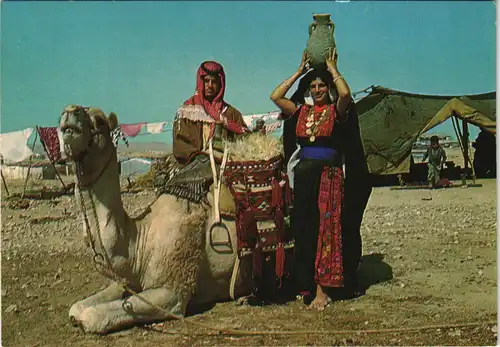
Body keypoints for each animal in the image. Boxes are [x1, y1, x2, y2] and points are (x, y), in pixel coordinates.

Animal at [59, 105, 254, 334]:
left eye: (100, 120)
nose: (70, 111)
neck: (140, 242)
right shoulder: (128, 282)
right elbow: (76, 307)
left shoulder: (172, 292)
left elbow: (92, 316)